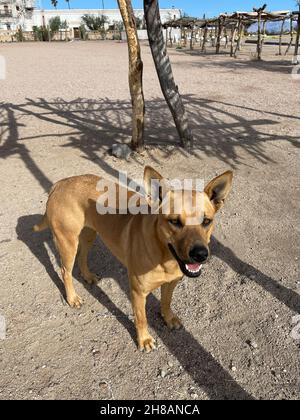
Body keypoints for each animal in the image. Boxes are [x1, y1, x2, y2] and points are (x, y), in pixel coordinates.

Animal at [34, 167, 232, 352]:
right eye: (175, 221)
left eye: (206, 221)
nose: (200, 254)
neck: (165, 258)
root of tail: (59, 183)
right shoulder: (138, 292)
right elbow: (141, 318)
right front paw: (144, 340)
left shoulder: (171, 283)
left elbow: (166, 302)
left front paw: (168, 318)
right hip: (68, 243)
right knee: (65, 272)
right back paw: (72, 298)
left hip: (89, 234)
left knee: (82, 257)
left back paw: (88, 276)